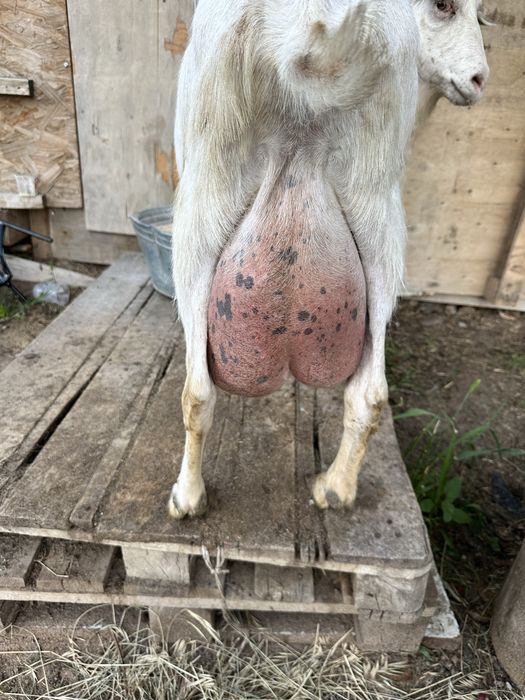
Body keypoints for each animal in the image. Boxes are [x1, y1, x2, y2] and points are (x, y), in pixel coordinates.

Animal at [169, 0, 419, 519]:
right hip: (381, 213)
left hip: (202, 203)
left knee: (197, 391)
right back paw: (336, 489)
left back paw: (187, 497)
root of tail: (314, 26)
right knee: (371, 394)